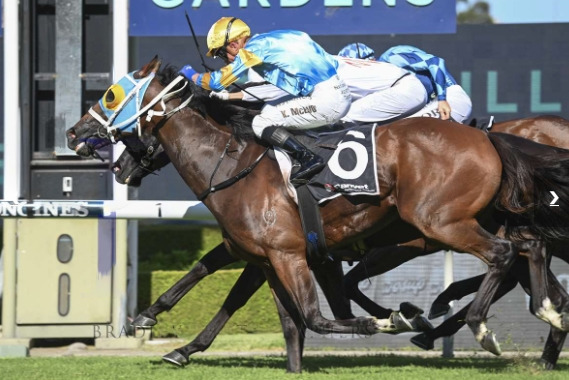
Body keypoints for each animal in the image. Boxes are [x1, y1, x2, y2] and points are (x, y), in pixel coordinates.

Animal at [66, 57, 569, 356]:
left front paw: (392, 318)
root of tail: (487, 137)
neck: (233, 162)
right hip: (471, 222)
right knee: (528, 250)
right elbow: (216, 281)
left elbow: (313, 315)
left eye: (110, 94)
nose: (74, 134)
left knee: (505, 255)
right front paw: (157, 325)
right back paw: (539, 312)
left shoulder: (287, 253)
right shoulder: (262, 251)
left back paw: (476, 326)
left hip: (439, 222)